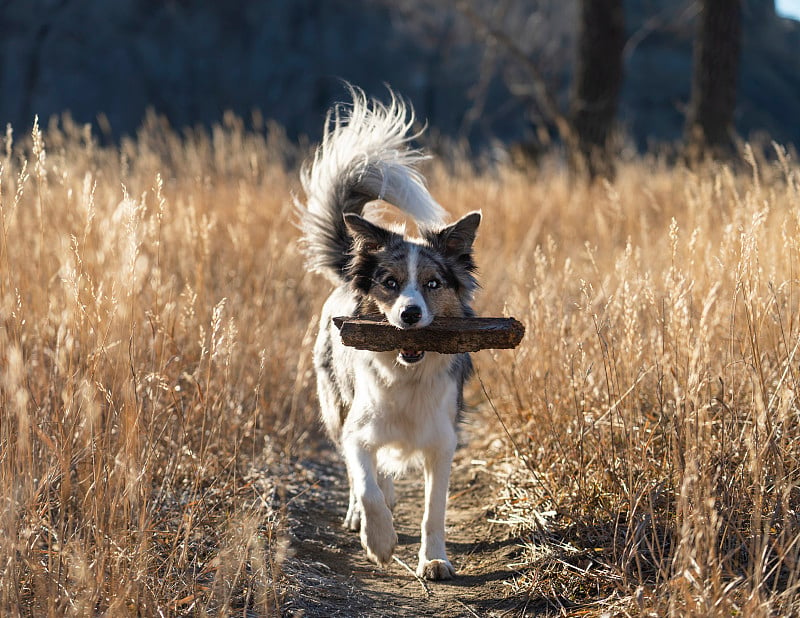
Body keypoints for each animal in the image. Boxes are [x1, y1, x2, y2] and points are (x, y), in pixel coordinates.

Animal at [296, 85, 478, 576]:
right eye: (390, 283)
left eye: (433, 284)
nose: (410, 315)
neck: (407, 374)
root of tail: (348, 268)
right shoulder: (357, 431)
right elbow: (365, 484)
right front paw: (378, 540)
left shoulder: (442, 443)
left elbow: (434, 510)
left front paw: (434, 560)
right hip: (335, 405)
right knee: (367, 476)